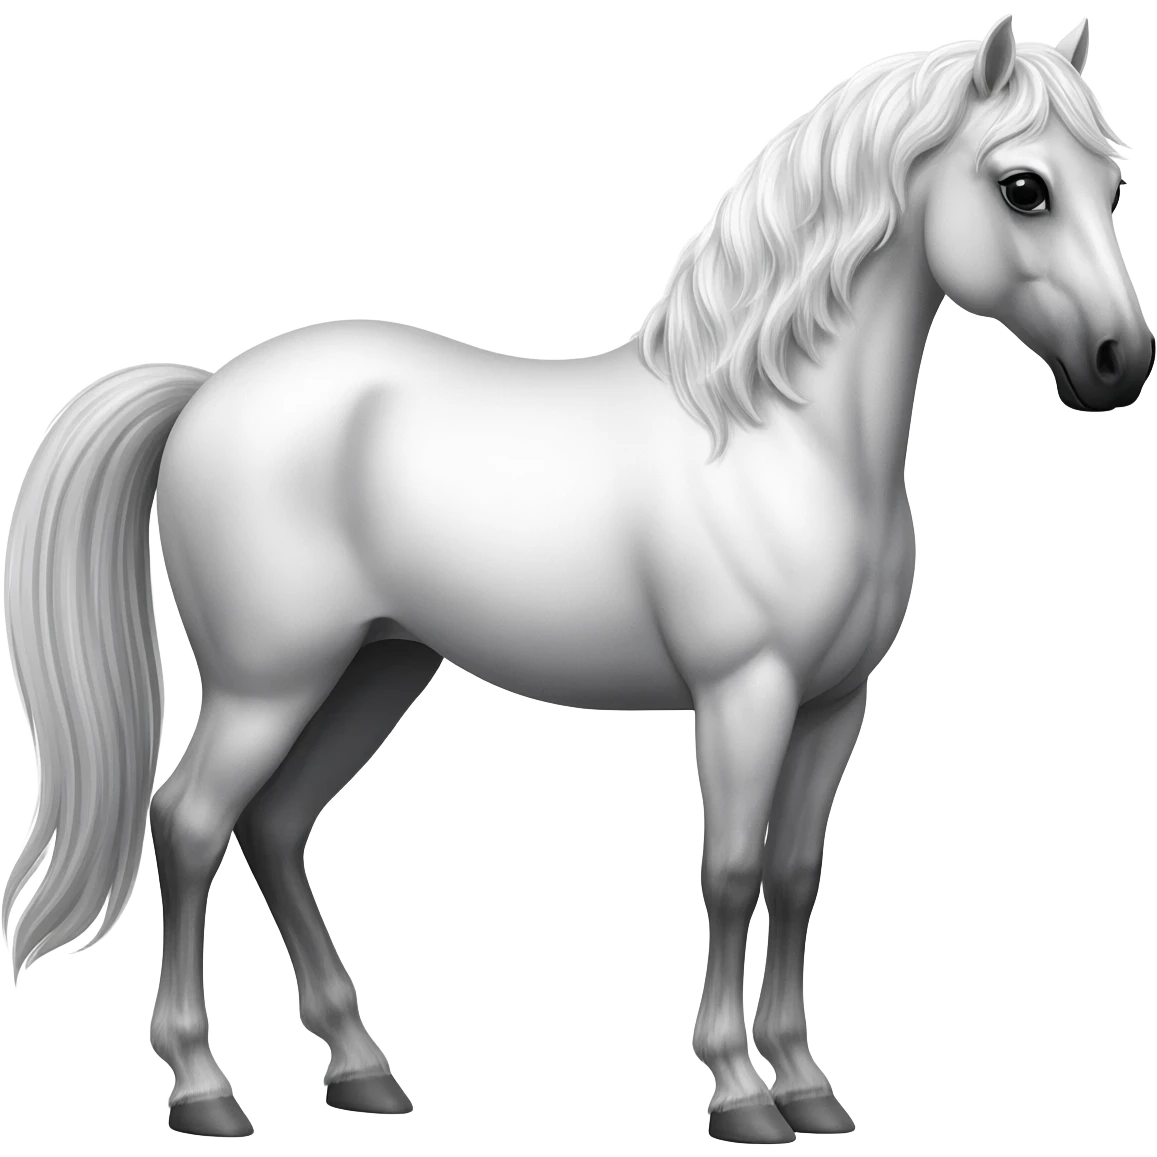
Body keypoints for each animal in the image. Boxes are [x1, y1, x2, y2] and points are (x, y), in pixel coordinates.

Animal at [2, 13, 1150, 1144]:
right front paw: (739, 1092)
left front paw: (809, 1086)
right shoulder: (743, 694)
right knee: (190, 823)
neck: (775, 437)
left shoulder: (834, 701)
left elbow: (793, 876)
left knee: (275, 826)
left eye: (1113, 183)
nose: (1118, 362)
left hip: (375, 669)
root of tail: (206, 390)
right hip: (268, 682)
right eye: (1022, 187)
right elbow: (731, 870)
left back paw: (364, 1070)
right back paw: (204, 1088)